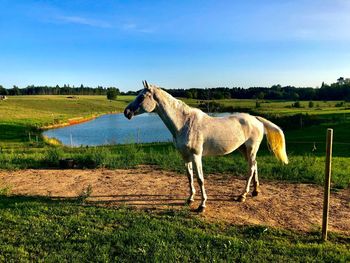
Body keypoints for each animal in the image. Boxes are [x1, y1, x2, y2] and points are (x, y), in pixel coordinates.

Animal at [124, 81, 288, 213]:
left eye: (142, 97)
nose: (126, 112)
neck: (184, 123)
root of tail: (255, 118)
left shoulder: (196, 156)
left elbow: (200, 179)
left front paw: (201, 205)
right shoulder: (185, 156)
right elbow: (189, 177)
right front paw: (190, 199)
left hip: (251, 148)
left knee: (251, 169)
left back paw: (242, 196)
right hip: (244, 150)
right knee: (255, 166)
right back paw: (255, 191)